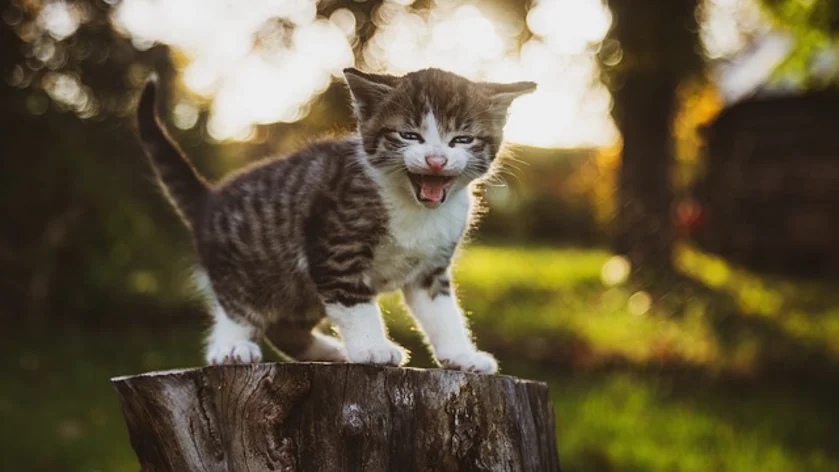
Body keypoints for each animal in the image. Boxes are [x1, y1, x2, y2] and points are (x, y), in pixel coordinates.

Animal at [135, 68, 536, 374]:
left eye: (462, 140)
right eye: (409, 135)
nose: (435, 160)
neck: (415, 208)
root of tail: (209, 199)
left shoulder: (431, 270)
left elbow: (443, 313)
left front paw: (461, 355)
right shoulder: (333, 243)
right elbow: (354, 302)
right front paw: (372, 347)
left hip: (299, 290)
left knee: (286, 328)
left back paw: (330, 352)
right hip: (251, 265)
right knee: (236, 305)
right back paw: (230, 347)